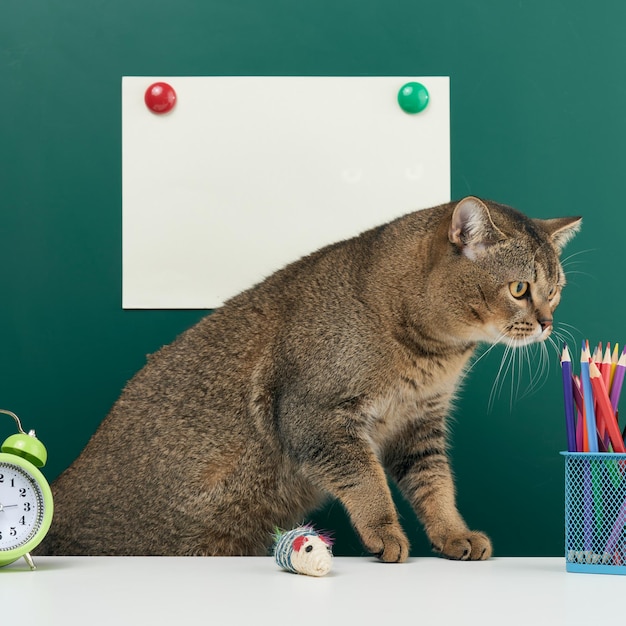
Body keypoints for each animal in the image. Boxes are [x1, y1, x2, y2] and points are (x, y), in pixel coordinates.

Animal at [36, 197, 576, 560]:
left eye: (556, 290)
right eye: (520, 289)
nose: (548, 323)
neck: (432, 354)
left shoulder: (417, 426)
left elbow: (436, 484)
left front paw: (451, 533)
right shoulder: (313, 415)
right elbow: (366, 481)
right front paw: (384, 534)